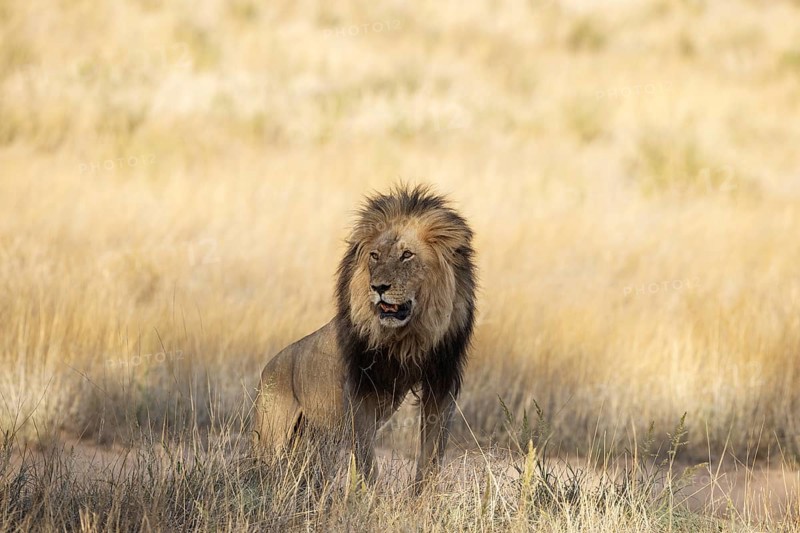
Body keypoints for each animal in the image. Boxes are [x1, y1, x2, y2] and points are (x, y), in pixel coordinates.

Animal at [252, 185, 477, 487]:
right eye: (375, 256)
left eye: (407, 255)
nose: (379, 287)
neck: (408, 337)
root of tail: (270, 365)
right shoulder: (359, 388)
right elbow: (367, 457)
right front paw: (370, 495)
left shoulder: (442, 383)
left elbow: (431, 453)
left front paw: (424, 495)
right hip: (272, 435)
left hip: (318, 441)